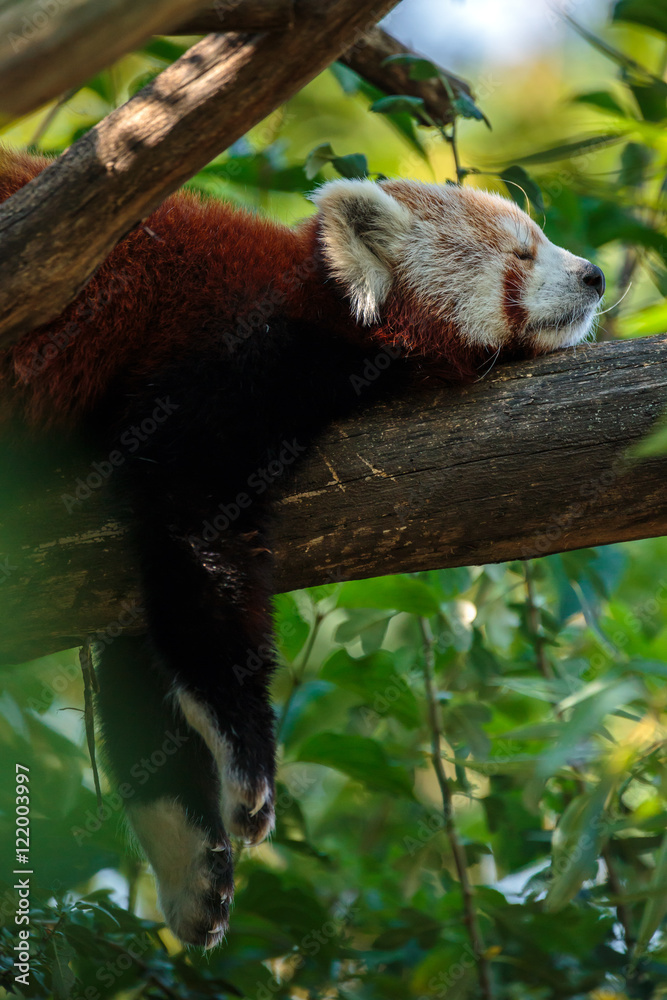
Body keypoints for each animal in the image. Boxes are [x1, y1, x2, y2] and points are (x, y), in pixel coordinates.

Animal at [0, 148, 604, 947]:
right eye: (521, 254)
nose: (595, 276)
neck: (330, 307)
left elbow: (136, 647)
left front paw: (187, 853)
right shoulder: (239, 354)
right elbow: (193, 527)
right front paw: (243, 747)